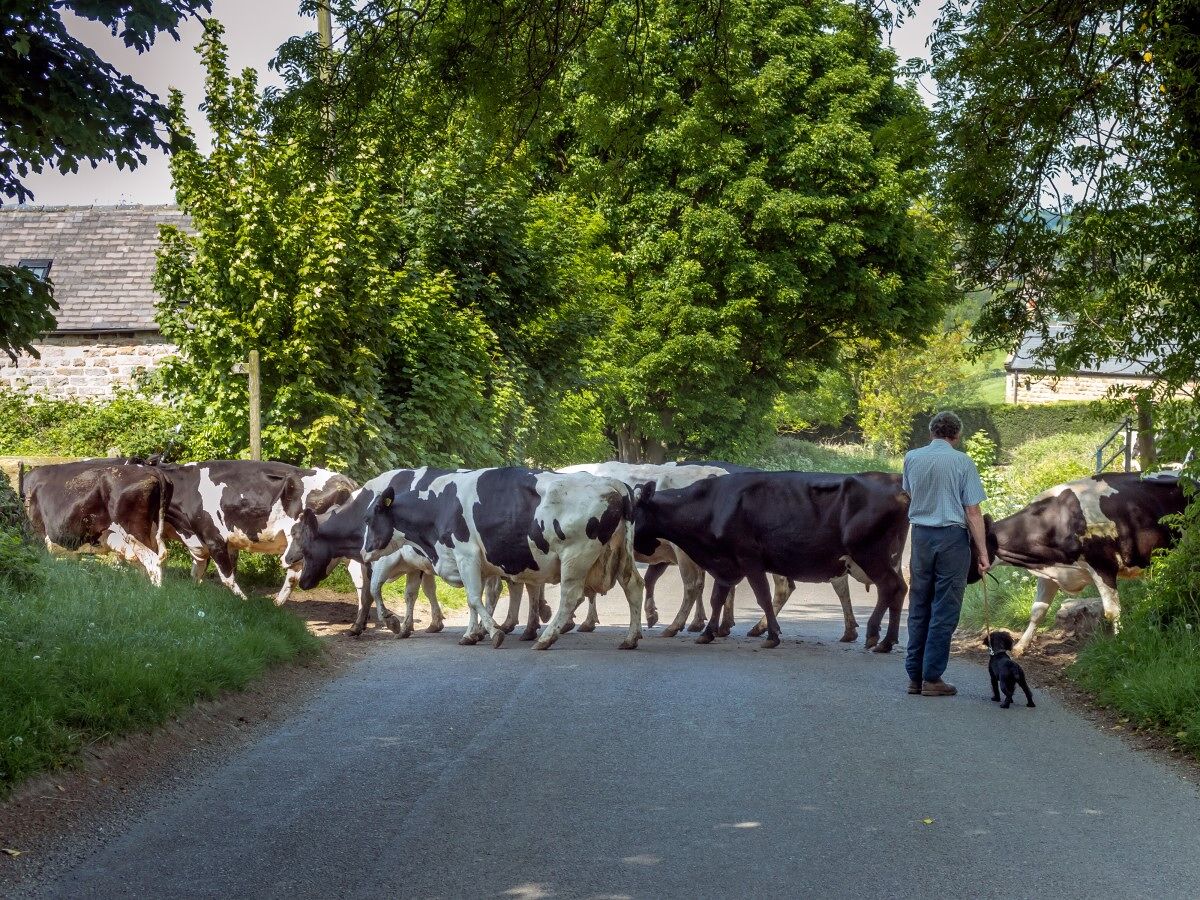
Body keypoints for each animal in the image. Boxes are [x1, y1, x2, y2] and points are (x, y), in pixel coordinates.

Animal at [328, 468, 648, 652]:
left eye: (368, 519)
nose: (364, 551)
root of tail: (614, 484)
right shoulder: (474, 563)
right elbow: (477, 598)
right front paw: (472, 633)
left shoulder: (465, 553)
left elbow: (473, 598)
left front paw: (493, 633)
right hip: (619, 555)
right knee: (633, 586)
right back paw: (630, 638)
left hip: (576, 556)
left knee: (571, 597)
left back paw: (545, 638)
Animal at [633, 472, 902, 648]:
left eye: (632, 511)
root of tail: (897, 489)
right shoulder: (725, 564)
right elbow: (716, 598)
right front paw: (708, 632)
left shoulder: (750, 559)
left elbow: (762, 596)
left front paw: (773, 635)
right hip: (888, 558)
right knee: (900, 588)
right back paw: (887, 641)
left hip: (870, 554)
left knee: (889, 587)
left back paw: (873, 634)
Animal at [979, 472, 1185, 657]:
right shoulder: (1050, 572)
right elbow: (1037, 611)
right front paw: (1020, 646)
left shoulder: (1103, 566)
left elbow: (1112, 612)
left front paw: (1120, 641)